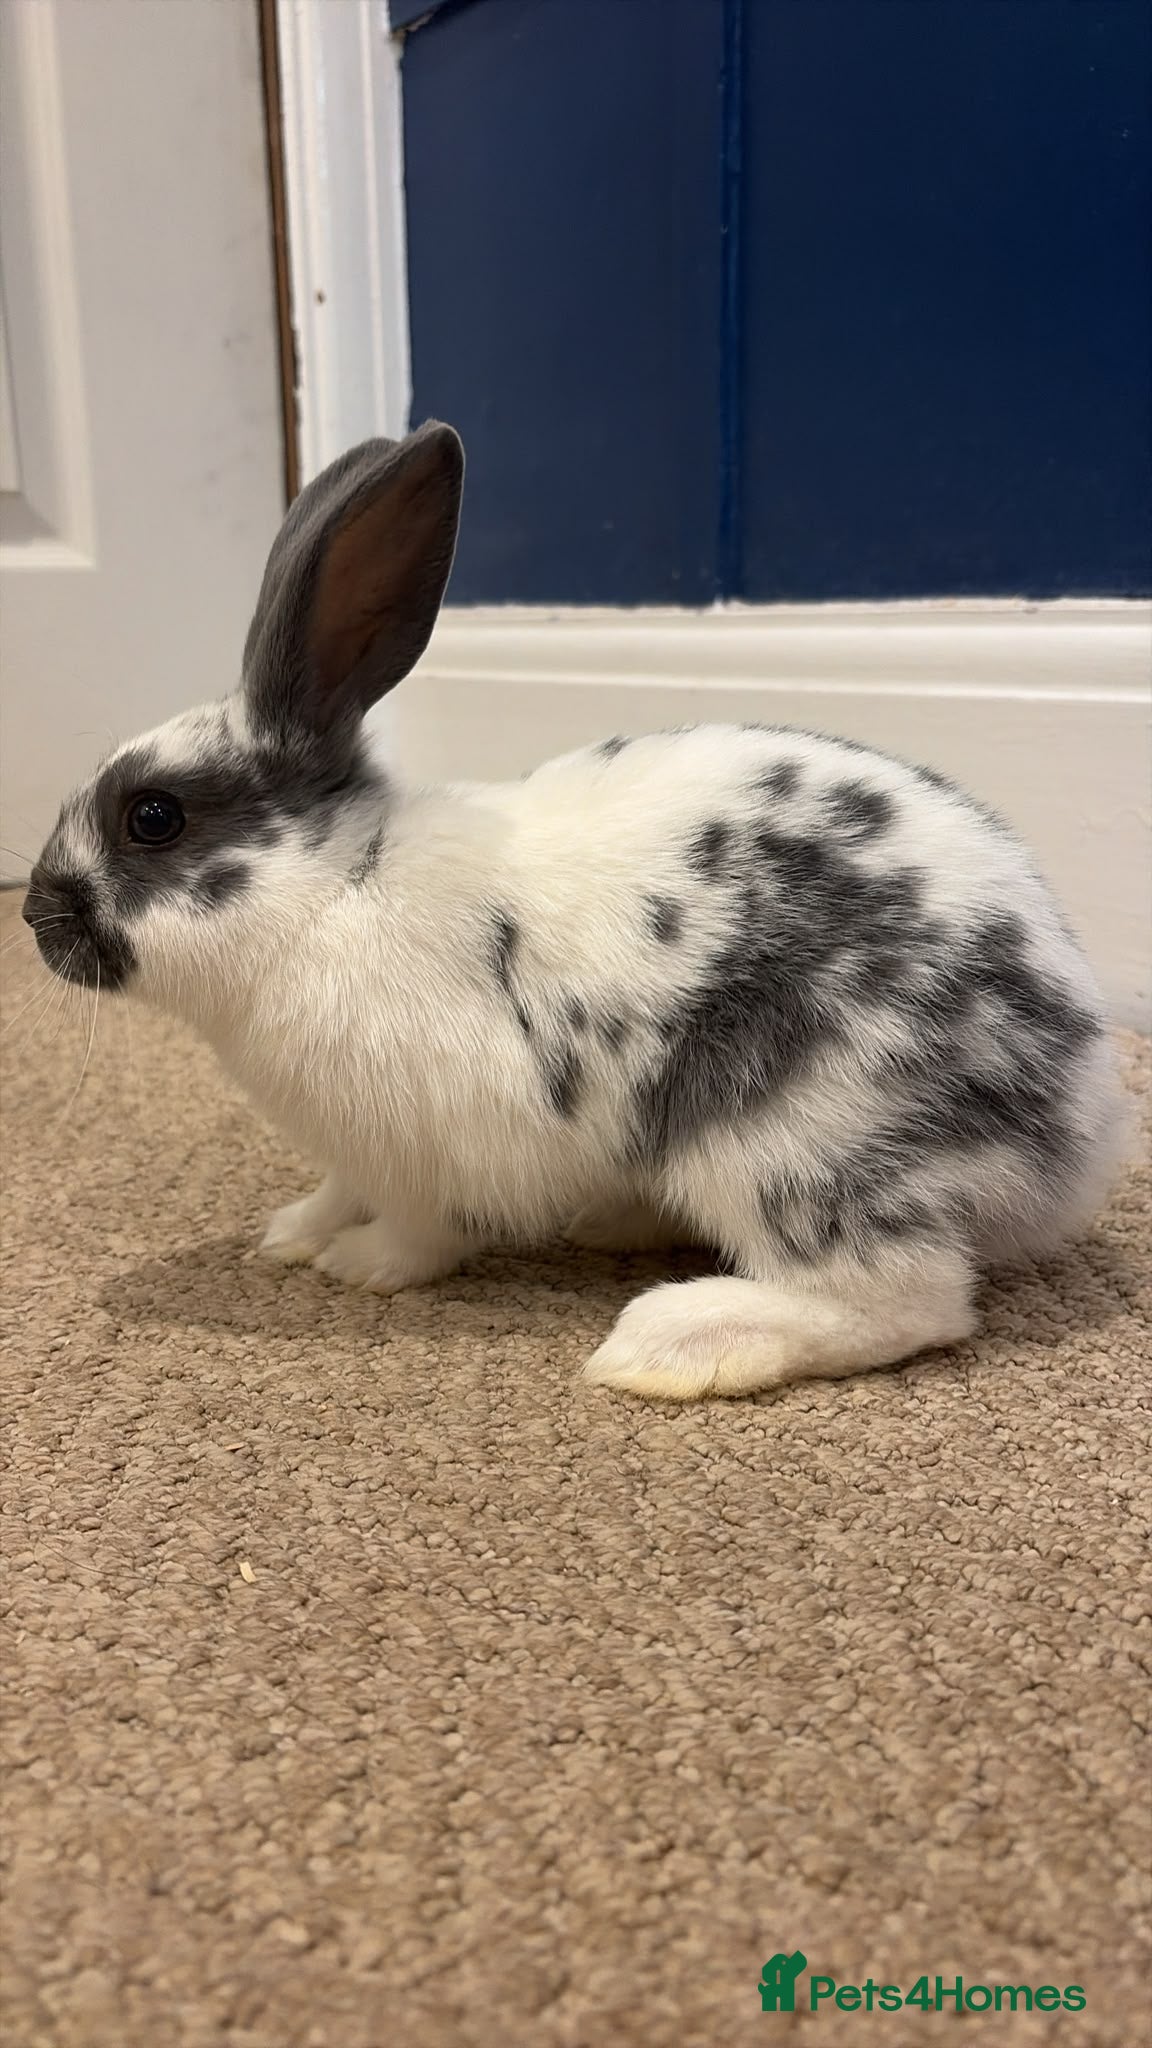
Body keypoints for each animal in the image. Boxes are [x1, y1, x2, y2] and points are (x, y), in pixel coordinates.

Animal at [23, 423, 1126, 1402]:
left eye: (153, 817)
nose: (35, 912)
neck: (335, 886)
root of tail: (1077, 1129)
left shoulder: (427, 1151)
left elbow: (419, 1232)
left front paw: (358, 1265)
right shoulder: (353, 1149)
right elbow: (336, 1189)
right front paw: (295, 1231)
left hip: (794, 1140)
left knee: (909, 1297)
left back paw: (674, 1342)